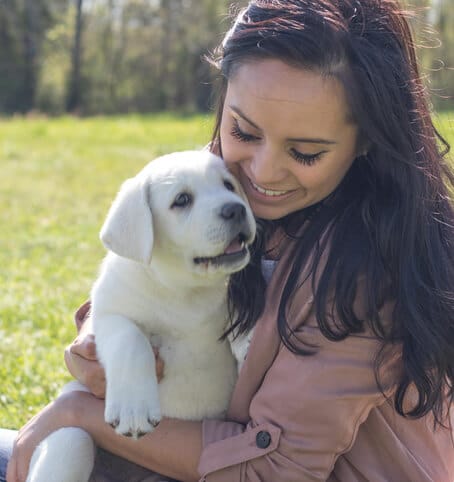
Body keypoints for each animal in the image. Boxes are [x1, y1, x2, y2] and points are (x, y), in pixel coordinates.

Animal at [27, 151, 255, 482]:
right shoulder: (108, 314)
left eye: (229, 185)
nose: (236, 209)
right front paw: (133, 409)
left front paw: (249, 339)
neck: (184, 290)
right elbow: (130, 341)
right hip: (68, 439)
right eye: (182, 200)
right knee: (73, 438)